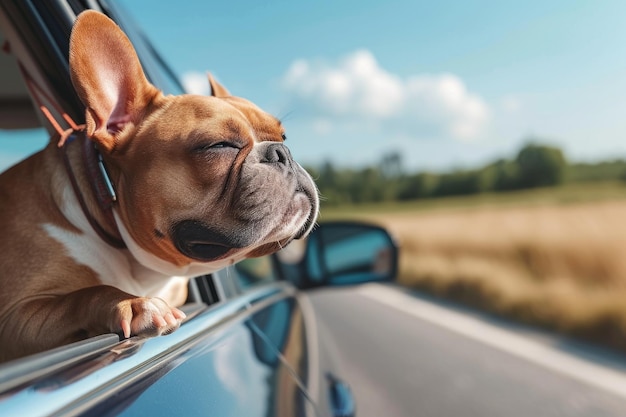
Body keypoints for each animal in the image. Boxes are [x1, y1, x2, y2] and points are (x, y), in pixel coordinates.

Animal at [0, 9, 316, 360]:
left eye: (283, 136)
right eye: (219, 145)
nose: (282, 153)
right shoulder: (15, 318)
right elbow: (81, 296)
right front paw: (135, 305)